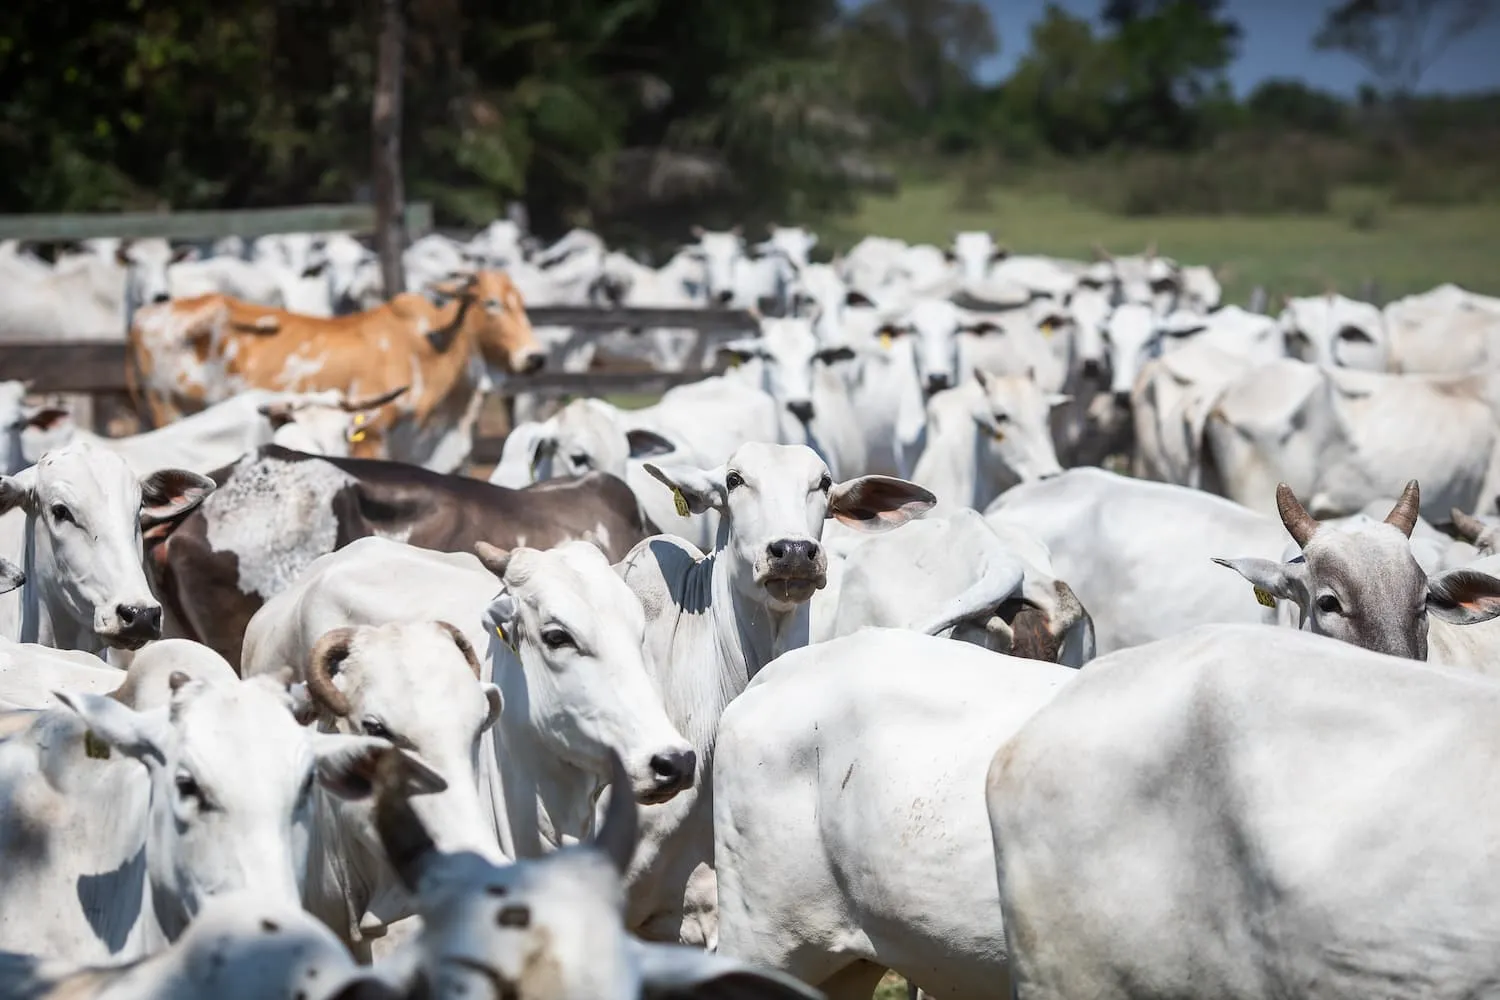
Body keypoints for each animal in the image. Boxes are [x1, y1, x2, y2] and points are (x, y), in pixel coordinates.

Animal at [126, 265, 543, 470]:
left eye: (523, 303)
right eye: (491, 303)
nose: (535, 357)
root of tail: (145, 315)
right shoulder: (372, 439)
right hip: (166, 407)